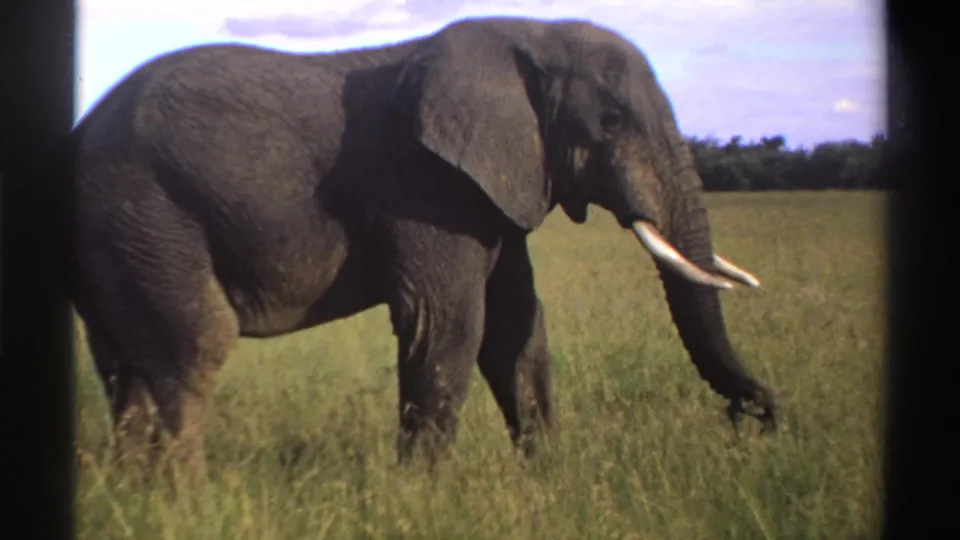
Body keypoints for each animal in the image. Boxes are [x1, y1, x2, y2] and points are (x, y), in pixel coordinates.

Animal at [68, 15, 776, 478]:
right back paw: (188, 498)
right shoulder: (426, 184)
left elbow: (517, 328)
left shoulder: (488, 188)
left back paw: (136, 495)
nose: (755, 419)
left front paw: (548, 479)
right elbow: (450, 323)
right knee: (193, 346)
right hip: (144, 208)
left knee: (125, 366)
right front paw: (424, 495)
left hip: (114, 234)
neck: (532, 32)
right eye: (611, 122)